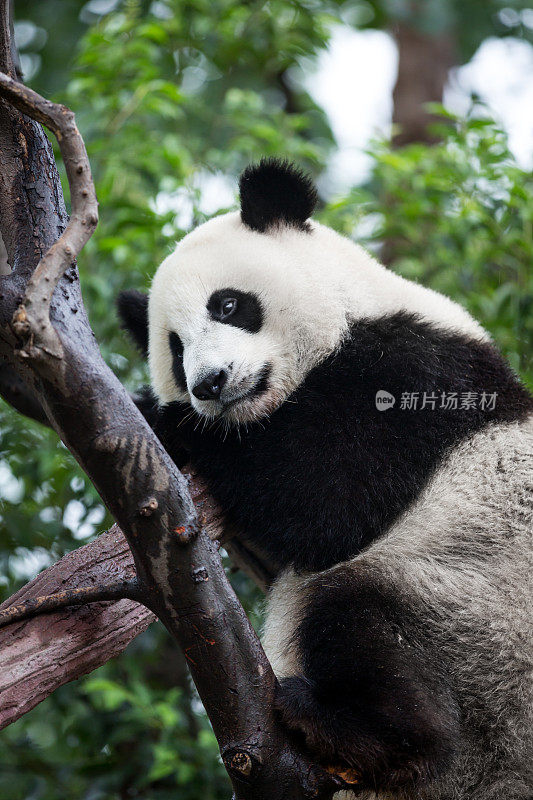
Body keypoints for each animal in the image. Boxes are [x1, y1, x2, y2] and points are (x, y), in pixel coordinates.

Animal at [117, 158, 532, 800]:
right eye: (175, 349)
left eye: (228, 305)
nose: (208, 384)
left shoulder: (412, 375)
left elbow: (327, 500)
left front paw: (166, 420)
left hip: (477, 616)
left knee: (355, 612)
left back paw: (349, 728)